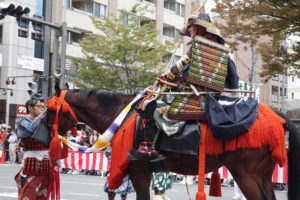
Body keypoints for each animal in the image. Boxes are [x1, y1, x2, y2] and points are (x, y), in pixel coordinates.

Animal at [46, 85, 300, 200]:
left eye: (50, 110)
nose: (42, 132)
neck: (122, 115)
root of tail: (275, 115)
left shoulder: (138, 170)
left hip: (245, 174)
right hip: (263, 175)